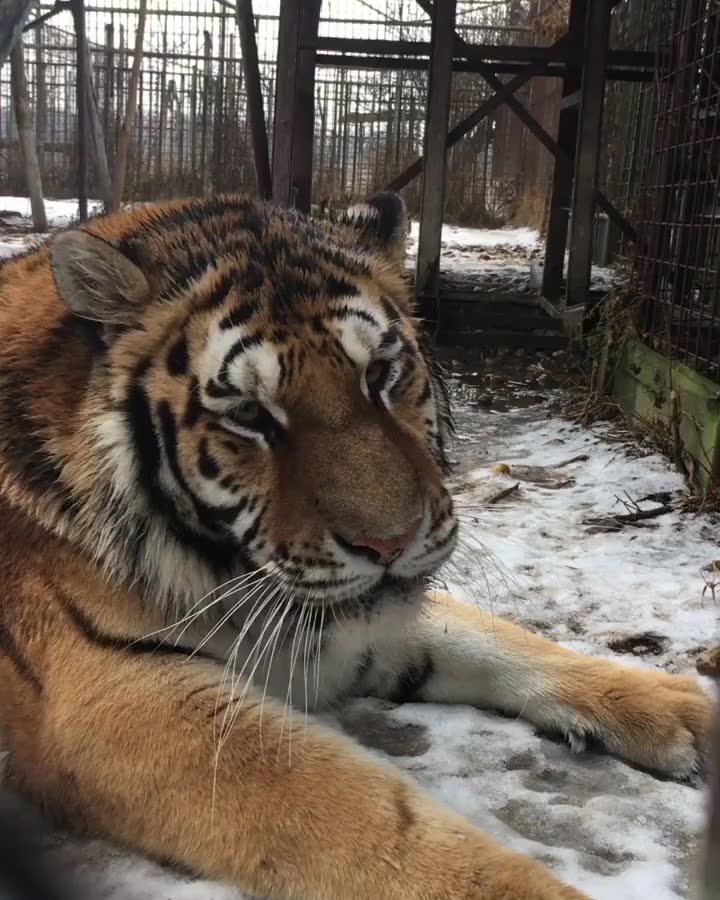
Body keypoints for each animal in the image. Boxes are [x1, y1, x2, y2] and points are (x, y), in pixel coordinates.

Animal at [0, 193, 712, 900]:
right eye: (250, 415)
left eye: (381, 374)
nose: (390, 542)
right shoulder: (113, 691)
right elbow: (368, 819)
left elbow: (493, 638)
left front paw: (682, 713)